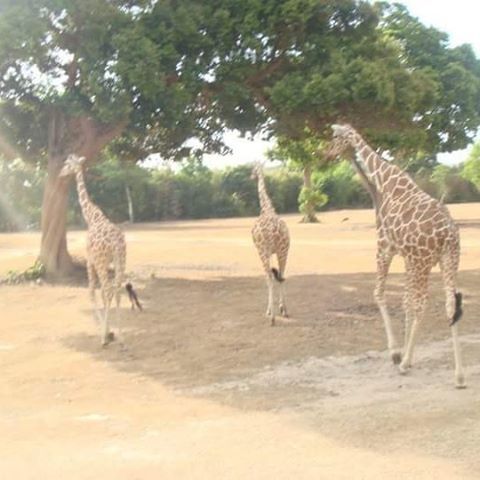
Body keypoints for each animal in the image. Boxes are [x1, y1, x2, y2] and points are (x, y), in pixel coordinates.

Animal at [58, 154, 141, 344]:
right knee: (116, 290)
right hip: (121, 260)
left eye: (67, 164)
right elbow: (102, 293)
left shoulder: (91, 260)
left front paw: (105, 333)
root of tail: (116, 242)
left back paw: (104, 339)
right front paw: (110, 332)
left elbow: (92, 293)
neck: (91, 216)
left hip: (103, 262)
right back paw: (121, 338)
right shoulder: (106, 262)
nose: (60, 173)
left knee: (109, 290)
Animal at [249, 162, 290, 326]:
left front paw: (269, 311)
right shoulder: (276, 252)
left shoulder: (262, 251)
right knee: (282, 275)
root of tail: (273, 232)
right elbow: (277, 275)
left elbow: (268, 278)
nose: (251, 176)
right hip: (284, 251)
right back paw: (284, 310)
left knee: (270, 278)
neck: (267, 209)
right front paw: (279, 309)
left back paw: (271, 317)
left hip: (263, 252)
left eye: (253, 169)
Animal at [326, 124, 464, 390]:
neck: (383, 179)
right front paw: (405, 353)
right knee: (450, 304)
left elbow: (380, 294)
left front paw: (396, 353)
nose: (326, 153)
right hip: (448, 260)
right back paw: (459, 376)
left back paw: (405, 364)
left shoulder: (385, 247)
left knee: (423, 304)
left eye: (335, 137)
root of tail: (449, 234)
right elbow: (405, 302)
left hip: (424, 262)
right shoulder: (407, 257)